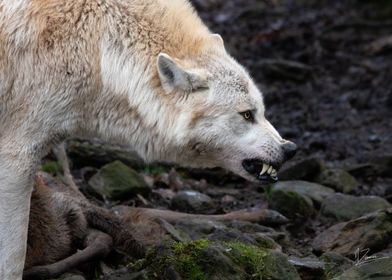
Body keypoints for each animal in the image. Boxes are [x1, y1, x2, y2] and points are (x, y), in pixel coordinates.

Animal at [0, 0, 294, 278]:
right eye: (246, 114)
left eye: (261, 111)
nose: (290, 149)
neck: (98, 48)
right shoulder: (17, 157)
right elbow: (13, 258)